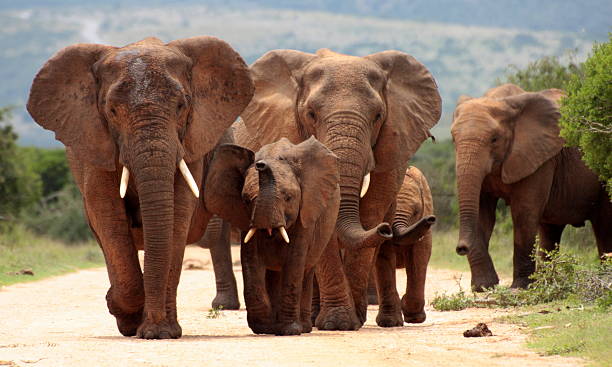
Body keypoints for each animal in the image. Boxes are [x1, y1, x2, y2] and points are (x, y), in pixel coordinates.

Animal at [26, 36, 253, 340]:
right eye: (111, 111)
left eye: (181, 106)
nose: (152, 329)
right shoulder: (95, 144)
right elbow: (107, 216)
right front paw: (126, 316)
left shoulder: (191, 144)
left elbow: (177, 215)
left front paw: (160, 332)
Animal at [206, 137, 340, 334]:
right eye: (246, 200)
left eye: (289, 198)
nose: (260, 164)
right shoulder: (247, 220)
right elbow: (251, 263)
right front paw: (264, 328)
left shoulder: (305, 215)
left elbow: (294, 263)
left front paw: (289, 331)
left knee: (307, 270)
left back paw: (304, 327)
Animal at [239, 49, 440, 328]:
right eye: (311, 114)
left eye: (378, 116)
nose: (386, 229)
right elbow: (323, 222)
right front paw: (339, 323)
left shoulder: (392, 145)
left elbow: (371, 211)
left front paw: (353, 320)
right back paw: (313, 319)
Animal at [452, 85, 608, 292]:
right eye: (453, 139)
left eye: (494, 139)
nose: (461, 248)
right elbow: (481, 213)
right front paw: (484, 287)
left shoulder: (539, 157)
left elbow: (524, 212)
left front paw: (519, 287)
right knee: (551, 230)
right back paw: (547, 283)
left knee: (605, 225)